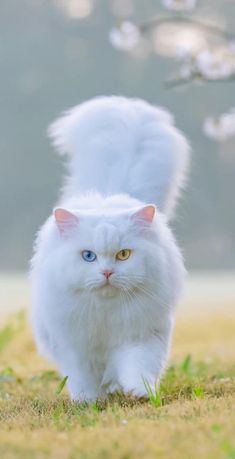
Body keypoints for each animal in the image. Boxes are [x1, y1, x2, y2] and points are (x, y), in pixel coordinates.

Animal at [30, 97, 190, 402]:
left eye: (123, 255)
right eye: (88, 256)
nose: (106, 273)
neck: (105, 314)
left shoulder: (141, 336)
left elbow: (138, 366)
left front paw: (139, 392)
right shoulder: (75, 347)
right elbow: (84, 378)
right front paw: (88, 402)